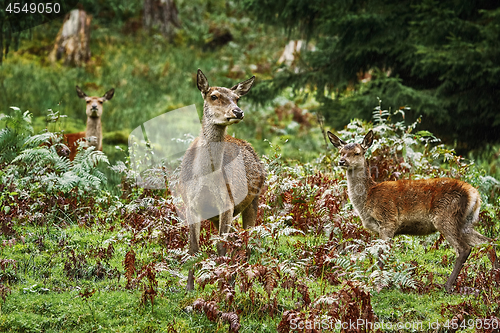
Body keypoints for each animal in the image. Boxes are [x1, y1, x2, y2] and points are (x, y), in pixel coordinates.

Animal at [180, 68, 266, 290]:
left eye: (237, 98)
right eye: (213, 96)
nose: (238, 112)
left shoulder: (226, 204)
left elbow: (221, 246)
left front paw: (221, 287)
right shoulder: (191, 205)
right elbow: (193, 247)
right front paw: (189, 287)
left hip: (253, 200)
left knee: (246, 241)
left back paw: (241, 284)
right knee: (236, 238)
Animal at [328, 129, 496, 290]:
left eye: (357, 152)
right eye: (341, 152)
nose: (341, 161)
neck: (367, 200)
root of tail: (474, 195)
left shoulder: (388, 220)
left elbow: (382, 256)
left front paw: (377, 283)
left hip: (446, 216)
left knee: (464, 249)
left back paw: (447, 286)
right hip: (465, 223)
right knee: (488, 242)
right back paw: (494, 277)